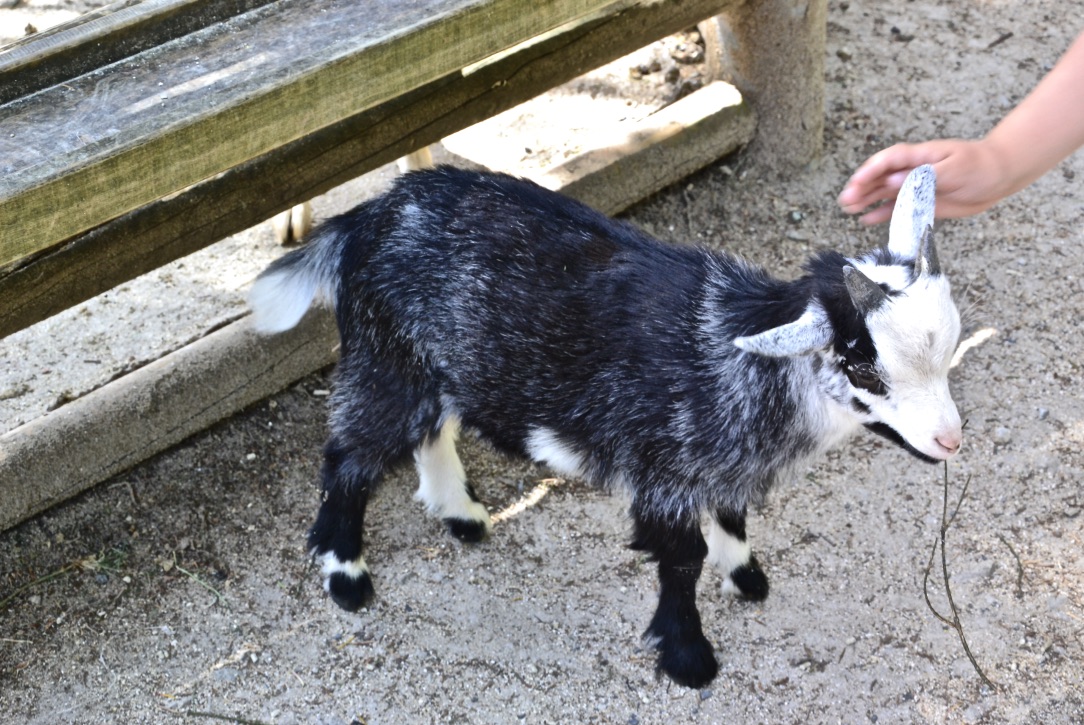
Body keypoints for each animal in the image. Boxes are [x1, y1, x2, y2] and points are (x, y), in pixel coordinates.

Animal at [249, 165, 962, 689]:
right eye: (861, 364)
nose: (950, 440)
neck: (735, 358)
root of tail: (365, 217)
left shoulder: (717, 463)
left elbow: (730, 516)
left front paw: (745, 576)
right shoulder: (663, 474)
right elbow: (682, 560)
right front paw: (688, 657)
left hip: (436, 362)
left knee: (433, 429)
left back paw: (461, 515)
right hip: (386, 360)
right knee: (350, 456)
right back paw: (346, 575)